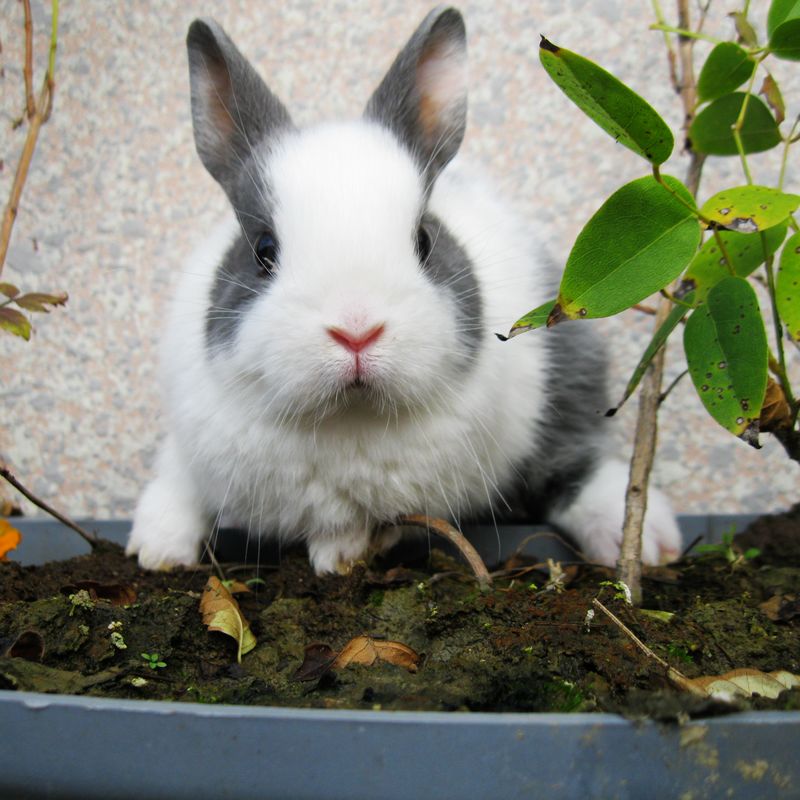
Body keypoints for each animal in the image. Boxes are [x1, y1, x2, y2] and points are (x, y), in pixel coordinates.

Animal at [126, 3, 680, 572]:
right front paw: (156, 550)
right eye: (263, 249)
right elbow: (175, 479)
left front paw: (336, 555)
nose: (356, 332)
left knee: (575, 460)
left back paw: (646, 543)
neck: (350, 421)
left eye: (424, 240)